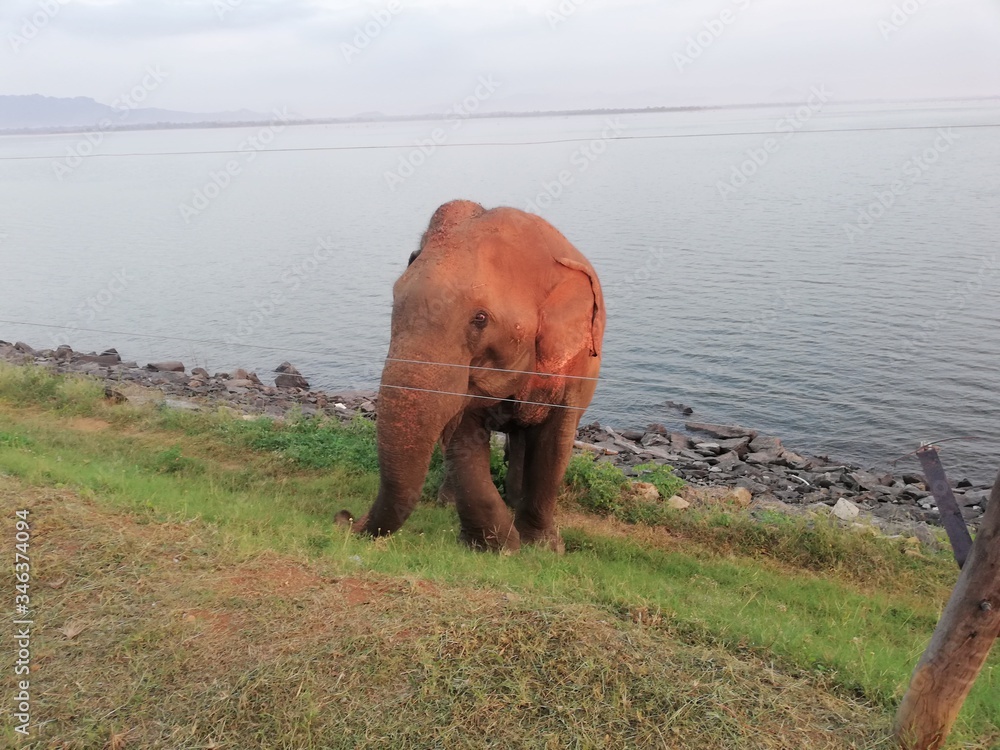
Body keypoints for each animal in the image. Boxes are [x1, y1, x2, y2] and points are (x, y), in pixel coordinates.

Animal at [352, 199, 605, 552]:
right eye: (395, 300)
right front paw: (499, 548)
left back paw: (514, 499)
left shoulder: (575, 366)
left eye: (480, 318)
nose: (344, 518)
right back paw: (448, 501)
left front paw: (544, 548)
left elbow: (554, 444)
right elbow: (464, 437)